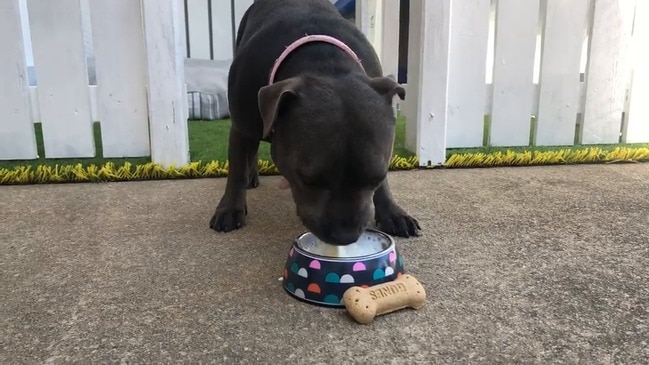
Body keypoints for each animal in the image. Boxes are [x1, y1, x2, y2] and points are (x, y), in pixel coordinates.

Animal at [208, 0, 420, 245]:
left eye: (377, 177)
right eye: (307, 179)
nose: (345, 236)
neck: (326, 65)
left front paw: (392, 213)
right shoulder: (241, 127)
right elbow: (237, 169)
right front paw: (229, 208)